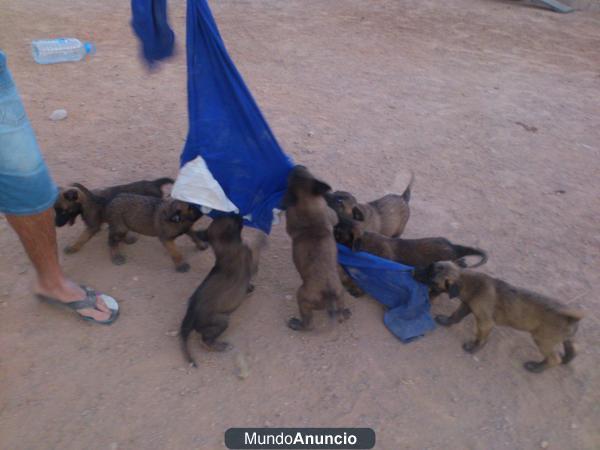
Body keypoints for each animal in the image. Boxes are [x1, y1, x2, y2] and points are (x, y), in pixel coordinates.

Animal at [178, 214, 262, 366]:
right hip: (221, 320)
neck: (225, 247)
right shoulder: (251, 263)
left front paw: (249, 289)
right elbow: (257, 249)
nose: (239, 215)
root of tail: (191, 313)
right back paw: (219, 346)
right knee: (205, 339)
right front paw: (262, 239)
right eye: (233, 218)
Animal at [284, 165, 350, 330]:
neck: (307, 200)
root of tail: (329, 296)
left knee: (307, 323)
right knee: (340, 310)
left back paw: (297, 324)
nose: (297, 166)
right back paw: (345, 313)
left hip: (302, 298)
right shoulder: (330, 215)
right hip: (341, 295)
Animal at [414, 260, 584, 372]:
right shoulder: (467, 305)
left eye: (432, 280)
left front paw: (473, 348)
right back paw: (566, 360)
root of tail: (571, 318)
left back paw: (535, 367)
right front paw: (445, 321)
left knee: (554, 359)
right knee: (573, 349)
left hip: (542, 339)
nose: (413, 270)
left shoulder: (485, 322)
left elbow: (481, 338)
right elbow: (455, 316)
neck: (467, 281)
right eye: (428, 266)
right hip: (564, 338)